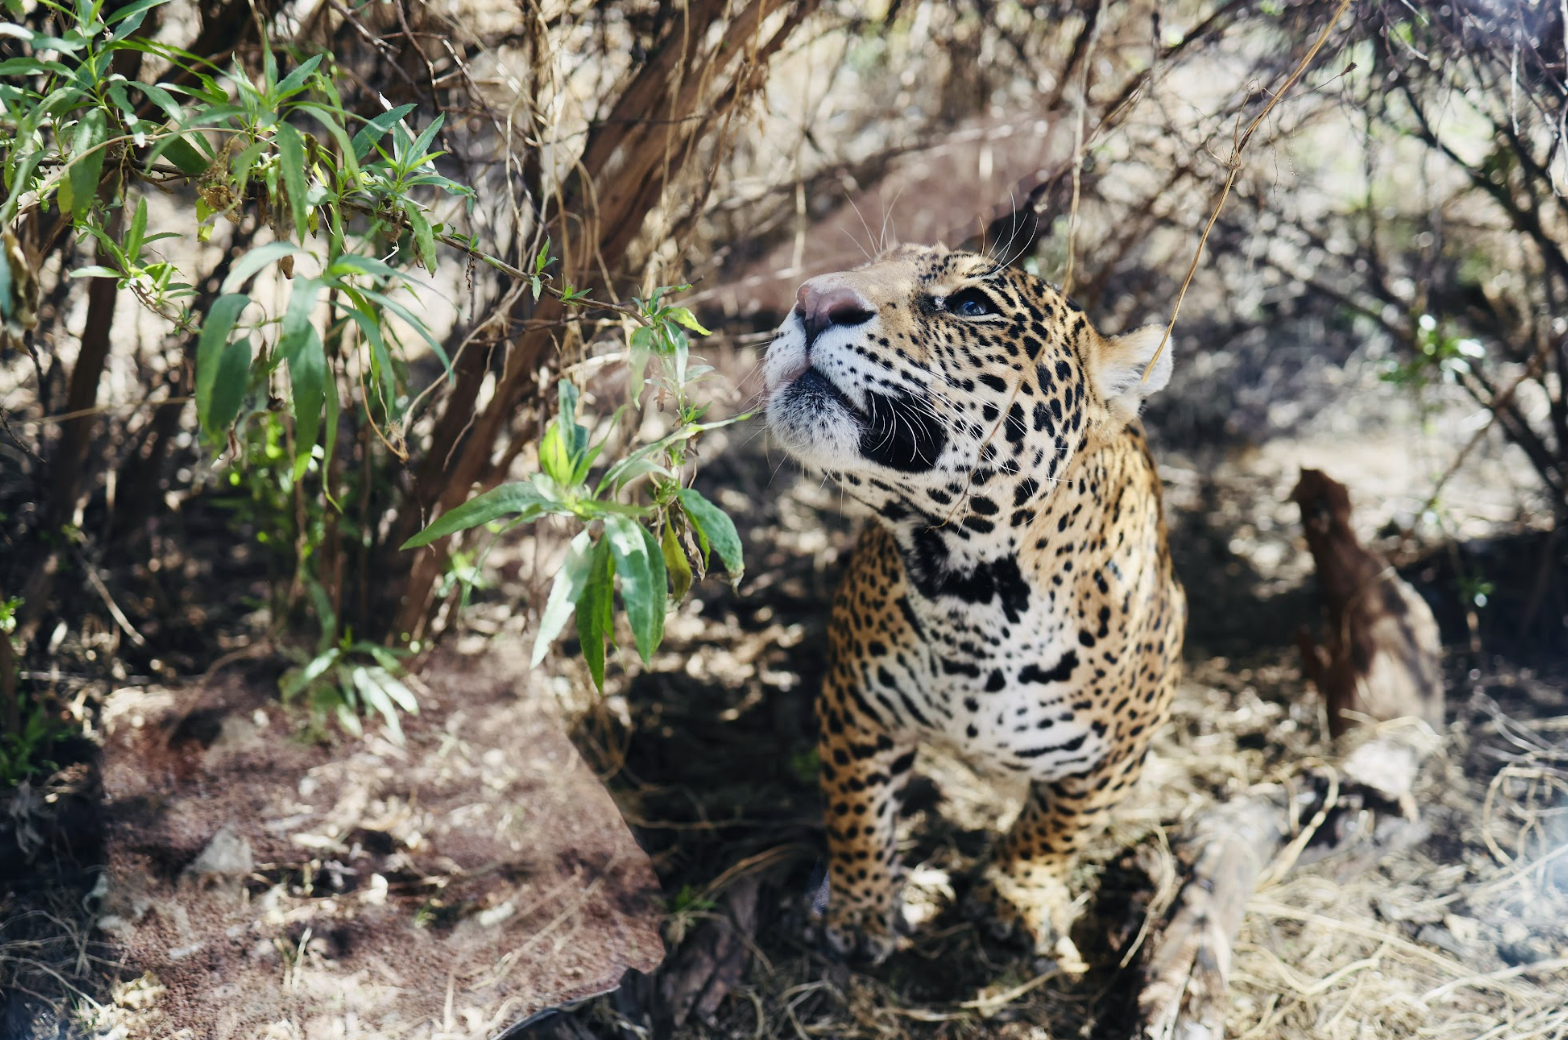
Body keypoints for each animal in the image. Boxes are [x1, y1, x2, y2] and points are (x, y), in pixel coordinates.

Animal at [761, 243, 1186, 967]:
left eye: (971, 305)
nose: (813, 299)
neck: (975, 595)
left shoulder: (1117, 754)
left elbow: (1057, 826)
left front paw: (1017, 897)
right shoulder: (856, 703)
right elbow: (858, 811)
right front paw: (858, 908)